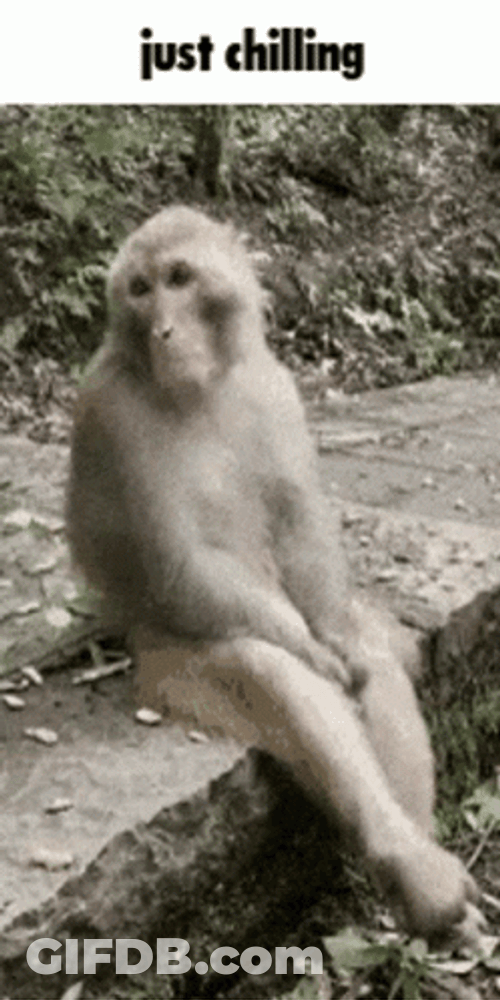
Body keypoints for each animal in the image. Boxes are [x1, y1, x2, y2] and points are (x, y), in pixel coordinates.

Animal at [67, 206, 482, 946]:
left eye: (179, 278)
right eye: (140, 290)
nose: (164, 329)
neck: (202, 387)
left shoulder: (275, 385)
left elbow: (297, 521)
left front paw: (337, 647)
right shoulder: (112, 408)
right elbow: (182, 562)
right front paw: (315, 657)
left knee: (368, 653)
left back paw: (424, 871)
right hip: (166, 666)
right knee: (267, 666)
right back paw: (412, 868)